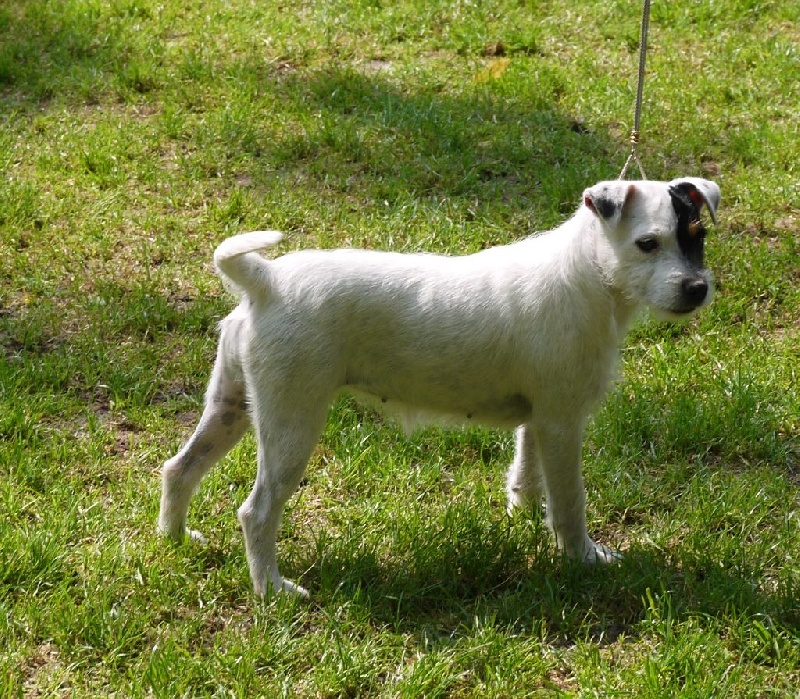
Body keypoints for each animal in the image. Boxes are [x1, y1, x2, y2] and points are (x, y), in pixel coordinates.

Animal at [158, 177, 720, 598]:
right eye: (647, 244)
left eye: (697, 236)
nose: (697, 289)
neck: (588, 274)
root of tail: (266, 281)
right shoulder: (563, 423)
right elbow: (569, 503)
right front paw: (583, 558)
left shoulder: (539, 420)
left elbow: (528, 476)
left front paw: (520, 519)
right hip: (290, 424)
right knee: (256, 512)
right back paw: (272, 589)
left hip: (232, 405)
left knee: (179, 469)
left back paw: (176, 541)